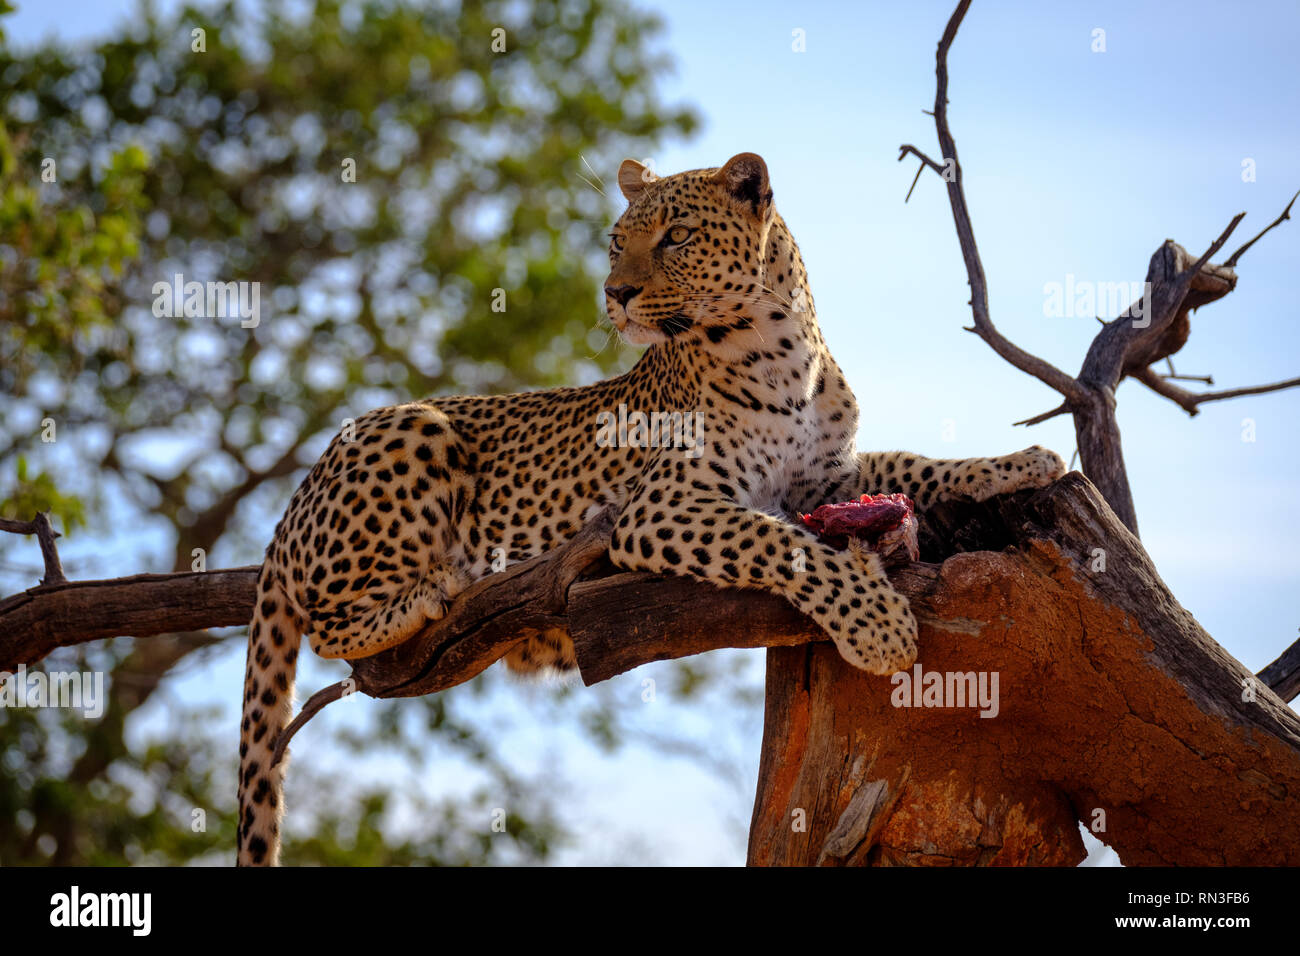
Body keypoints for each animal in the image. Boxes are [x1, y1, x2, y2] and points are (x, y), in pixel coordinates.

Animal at [236, 152, 1066, 866]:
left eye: (676, 237)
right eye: (616, 244)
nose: (616, 294)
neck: (784, 351)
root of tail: (293, 500)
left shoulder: (829, 481)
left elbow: (912, 466)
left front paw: (1023, 462)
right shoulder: (660, 507)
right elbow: (785, 544)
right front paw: (879, 626)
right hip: (417, 429)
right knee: (329, 625)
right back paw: (435, 589)